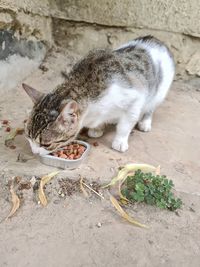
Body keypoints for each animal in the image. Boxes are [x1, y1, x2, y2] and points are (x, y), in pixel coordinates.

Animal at [22, 36, 175, 156]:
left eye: (46, 144)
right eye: (28, 137)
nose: (34, 152)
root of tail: (154, 39)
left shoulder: (135, 99)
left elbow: (125, 125)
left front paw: (120, 141)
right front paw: (97, 129)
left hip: (158, 92)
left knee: (150, 107)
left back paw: (145, 122)